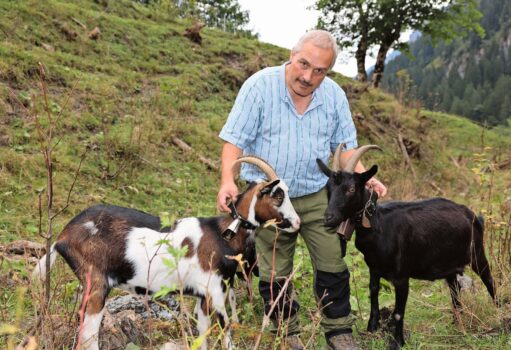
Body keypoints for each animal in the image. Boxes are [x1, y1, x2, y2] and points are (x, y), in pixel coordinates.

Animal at [32, 157, 300, 350]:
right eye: (278, 195)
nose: (297, 222)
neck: (222, 234)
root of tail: (62, 236)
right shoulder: (215, 292)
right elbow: (227, 334)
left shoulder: (203, 298)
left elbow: (202, 338)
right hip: (97, 284)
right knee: (88, 337)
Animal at [318, 144, 498, 350]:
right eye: (328, 188)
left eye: (350, 188)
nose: (328, 218)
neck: (379, 226)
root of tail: (472, 214)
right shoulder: (374, 269)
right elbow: (373, 295)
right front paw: (371, 329)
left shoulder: (402, 277)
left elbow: (398, 312)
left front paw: (397, 342)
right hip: (450, 266)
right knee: (455, 290)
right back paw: (457, 322)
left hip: (477, 253)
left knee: (490, 281)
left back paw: (498, 313)